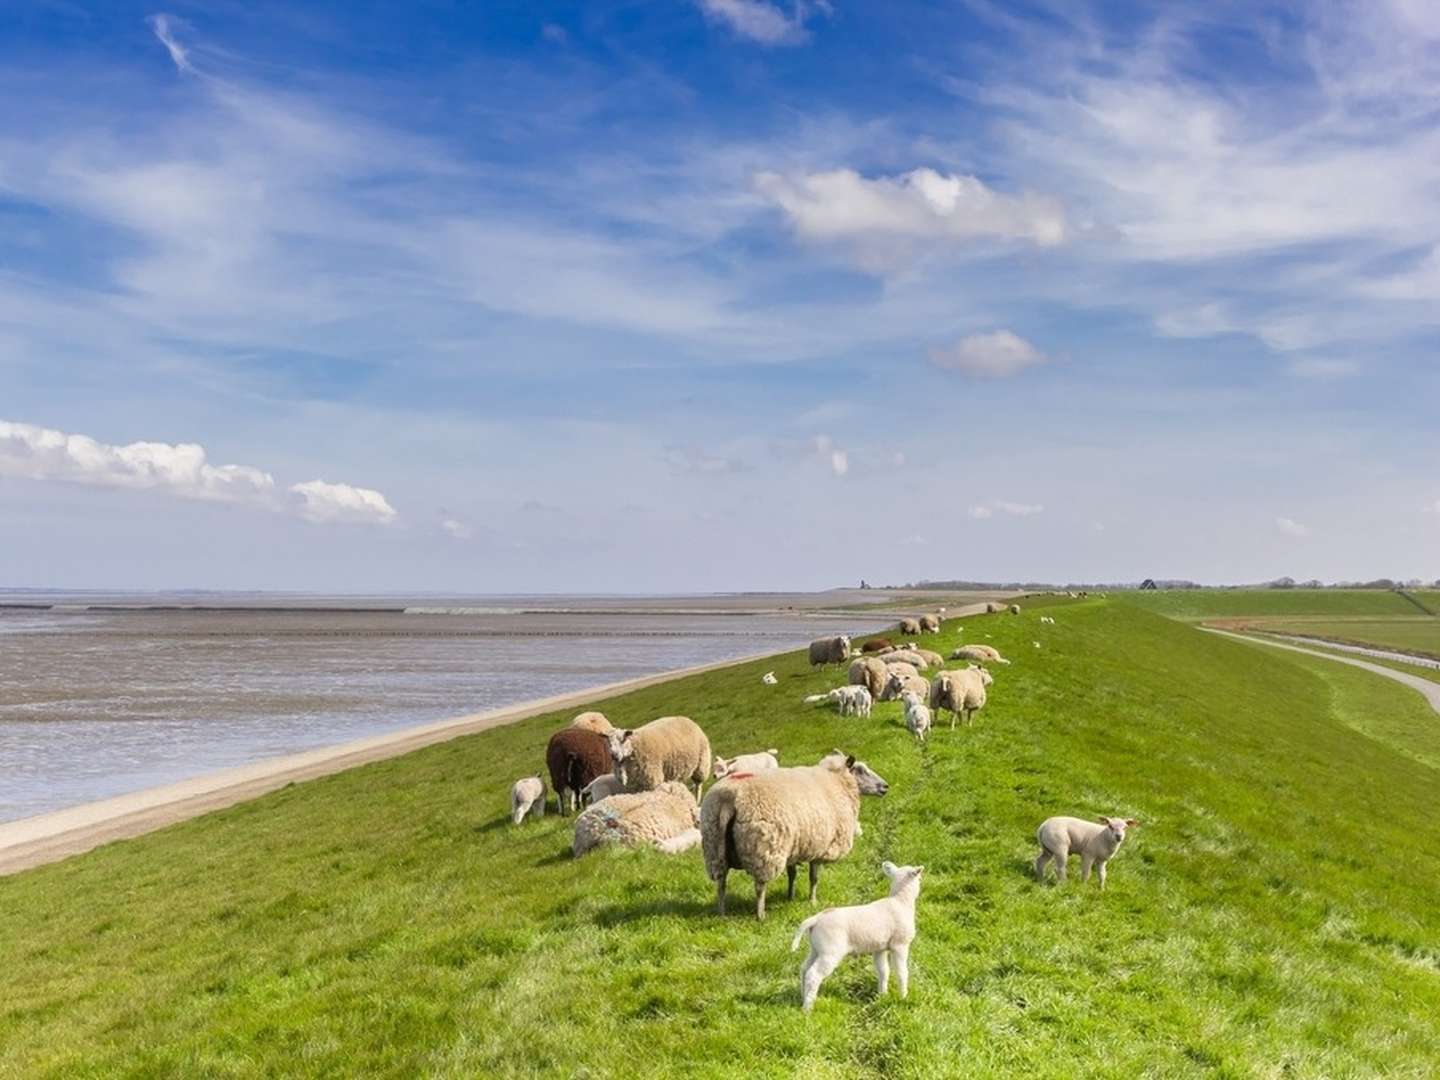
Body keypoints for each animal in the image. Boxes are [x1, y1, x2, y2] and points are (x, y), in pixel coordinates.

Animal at [699, 754, 887, 921]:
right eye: (861, 770)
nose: (885, 786)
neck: (837, 782)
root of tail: (728, 797)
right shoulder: (820, 847)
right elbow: (814, 878)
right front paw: (812, 901)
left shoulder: (794, 846)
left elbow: (792, 874)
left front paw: (790, 897)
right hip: (763, 848)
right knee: (760, 886)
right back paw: (760, 915)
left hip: (714, 844)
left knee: (721, 882)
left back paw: (721, 913)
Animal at [789, 864, 921, 1013]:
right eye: (919, 878)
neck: (901, 901)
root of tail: (816, 919)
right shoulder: (900, 945)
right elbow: (901, 972)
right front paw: (903, 996)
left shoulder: (880, 948)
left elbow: (883, 971)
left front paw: (882, 995)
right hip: (830, 951)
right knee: (813, 974)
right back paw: (807, 1008)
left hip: (816, 948)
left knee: (804, 969)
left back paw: (802, 996)